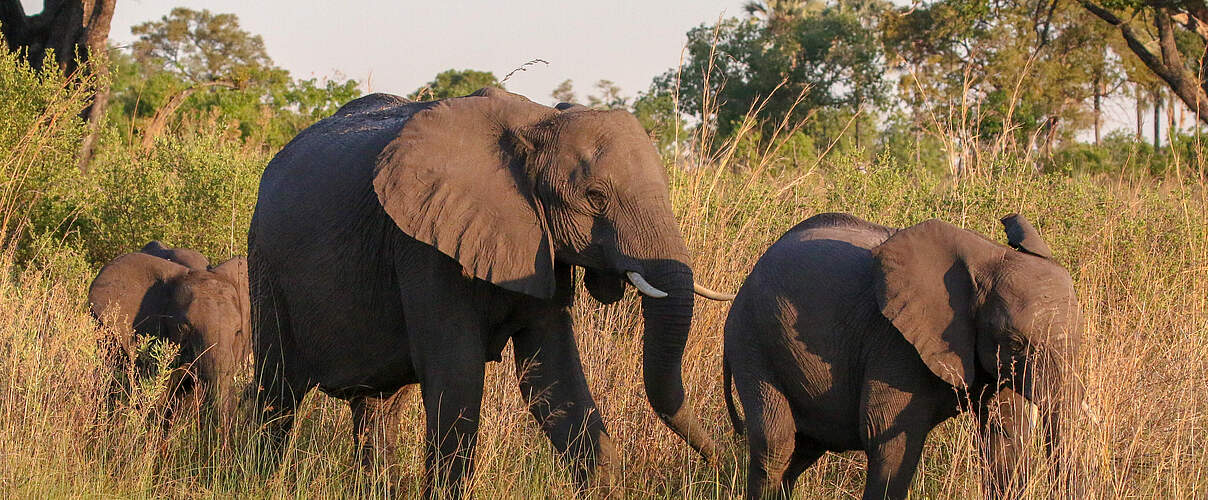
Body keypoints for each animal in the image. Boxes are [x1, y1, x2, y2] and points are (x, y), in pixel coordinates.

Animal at [250, 88, 729, 495]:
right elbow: (458, 379)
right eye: (595, 196)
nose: (722, 462)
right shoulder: (425, 247)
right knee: (277, 392)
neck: (538, 122)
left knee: (378, 407)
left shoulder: (540, 246)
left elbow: (554, 382)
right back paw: (254, 479)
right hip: (266, 266)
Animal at [724, 212, 1087, 497]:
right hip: (751, 340)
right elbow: (888, 440)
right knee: (776, 445)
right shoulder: (895, 343)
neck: (989, 256)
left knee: (803, 450)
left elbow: (1005, 442)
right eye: (1015, 341)